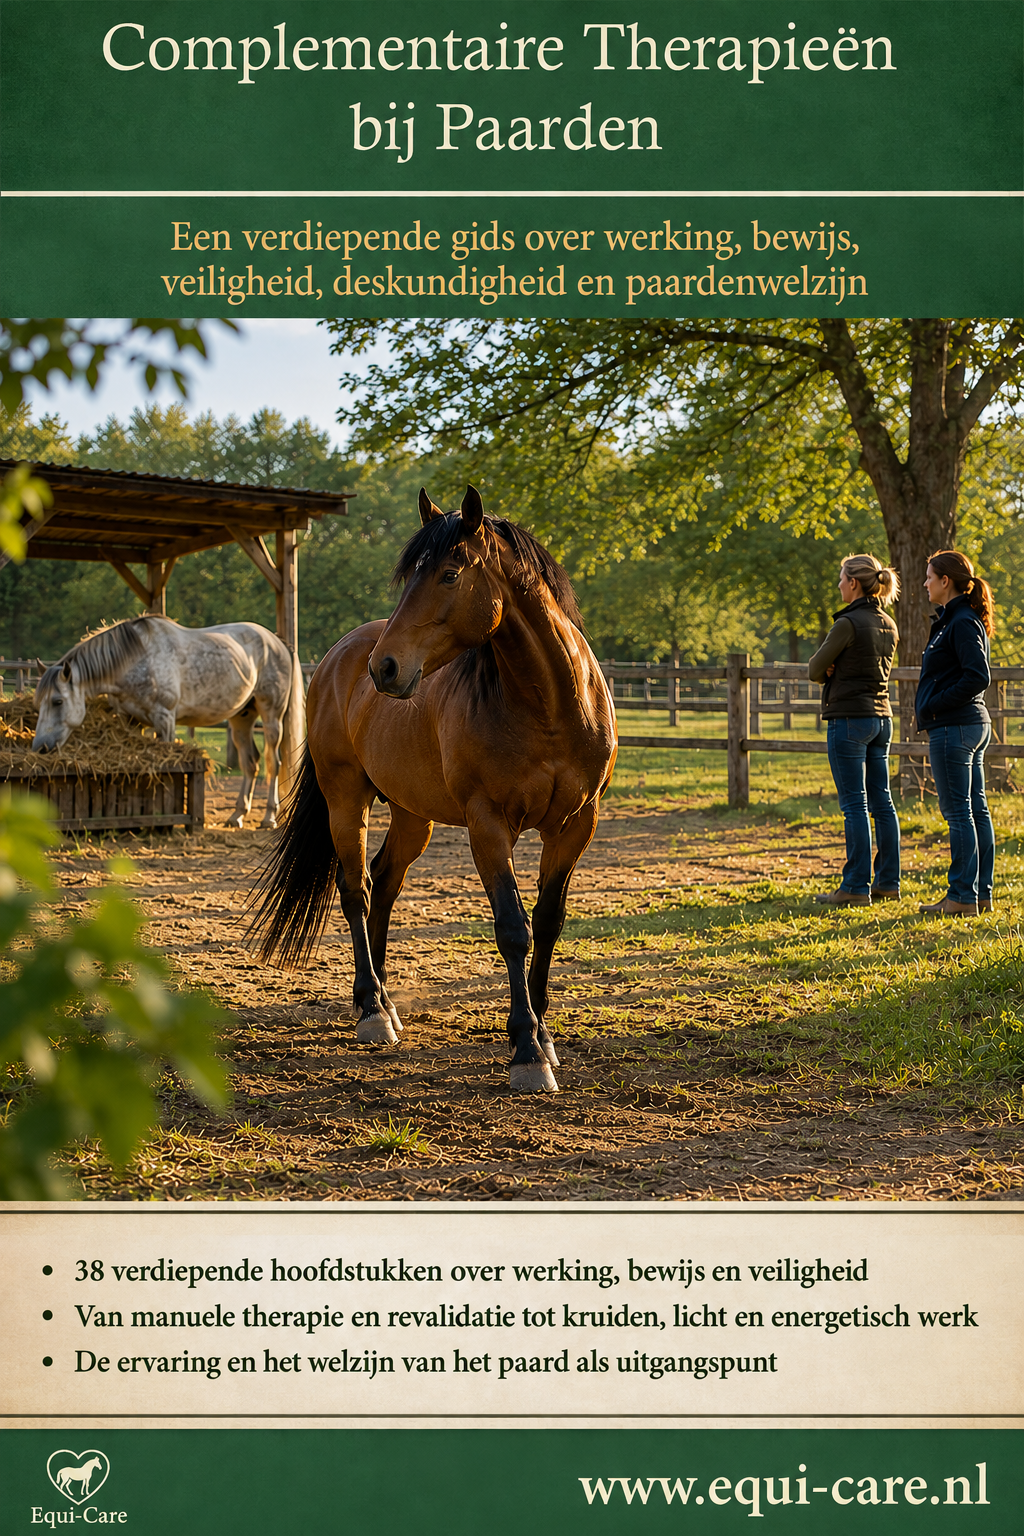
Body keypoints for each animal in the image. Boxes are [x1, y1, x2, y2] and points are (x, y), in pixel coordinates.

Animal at [32, 616, 304, 829]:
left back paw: (269, 817)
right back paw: (236, 815)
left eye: (57, 701)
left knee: (273, 762)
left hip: (271, 715)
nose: (39, 748)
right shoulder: (130, 720)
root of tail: (278, 642)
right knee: (250, 763)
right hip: (241, 718)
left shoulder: (164, 718)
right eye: (39, 702)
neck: (136, 660)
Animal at [247, 486, 617, 1092]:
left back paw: (382, 1001)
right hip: (345, 799)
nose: (386, 667)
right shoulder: (488, 824)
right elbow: (513, 928)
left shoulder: (575, 824)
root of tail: (338, 657)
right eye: (410, 576)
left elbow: (547, 922)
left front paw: (543, 1036)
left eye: (448, 573)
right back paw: (372, 1011)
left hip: (410, 815)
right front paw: (526, 1051)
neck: (551, 708)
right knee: (356, 890)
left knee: (384, 882)